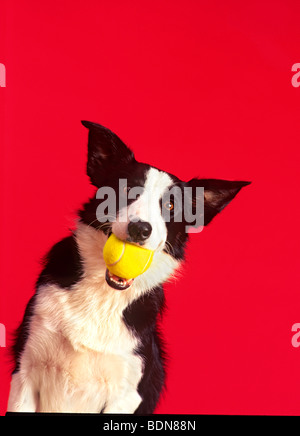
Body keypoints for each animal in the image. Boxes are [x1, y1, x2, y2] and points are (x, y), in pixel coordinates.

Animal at [7, 121, 250, 414]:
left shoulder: (127, 394)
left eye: (170, 205)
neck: (102, 296)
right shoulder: (25, 372)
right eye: (125, 191)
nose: (140, 229)